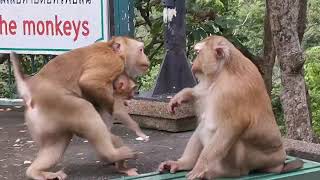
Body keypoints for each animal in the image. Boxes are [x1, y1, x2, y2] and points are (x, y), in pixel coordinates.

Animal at [9, 35, 150, 179]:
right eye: (141, 50)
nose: (147, 59)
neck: (112, 50)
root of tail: (29, 90)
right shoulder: (111, 63)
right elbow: (89, 83)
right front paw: (133, 127)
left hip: (44, 122)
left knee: (56, 144)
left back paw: (36, 172)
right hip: (57, 103)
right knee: (84, 108)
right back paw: (111, 155)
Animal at [159, 35, 304, 180]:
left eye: (198, 53)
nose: (194, 64)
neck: (225, 68)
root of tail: (278, 163)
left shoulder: (229, 91)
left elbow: (232, 126)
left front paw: (200, 166)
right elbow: (203, 91)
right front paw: (183, 95)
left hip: (253, 159)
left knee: (222, 131)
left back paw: (225, 172)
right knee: (203, 125)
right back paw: (184, 163)